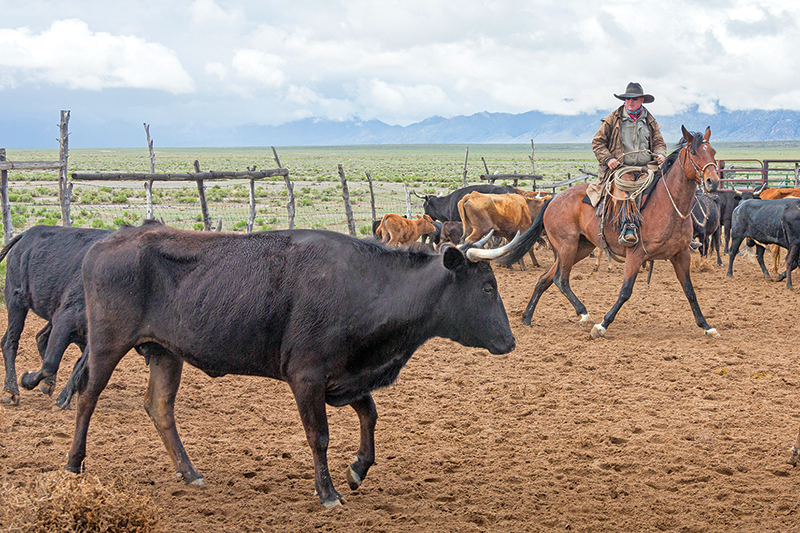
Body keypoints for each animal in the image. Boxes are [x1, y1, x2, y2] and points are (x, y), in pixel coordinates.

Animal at [499, 126, 721, 339]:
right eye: (693, 152)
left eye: (713, 152)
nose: (713, 181)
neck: (667, 206)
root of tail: (553, 199)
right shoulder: (636, 255)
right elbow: (625, 292)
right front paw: (602, 325)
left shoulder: (681, 255)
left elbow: (690, 291)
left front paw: (707, 326)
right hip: (566, 246)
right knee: (560, 279)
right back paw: (585, 314)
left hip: (579, 248)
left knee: (544, 279)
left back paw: (527, 317)